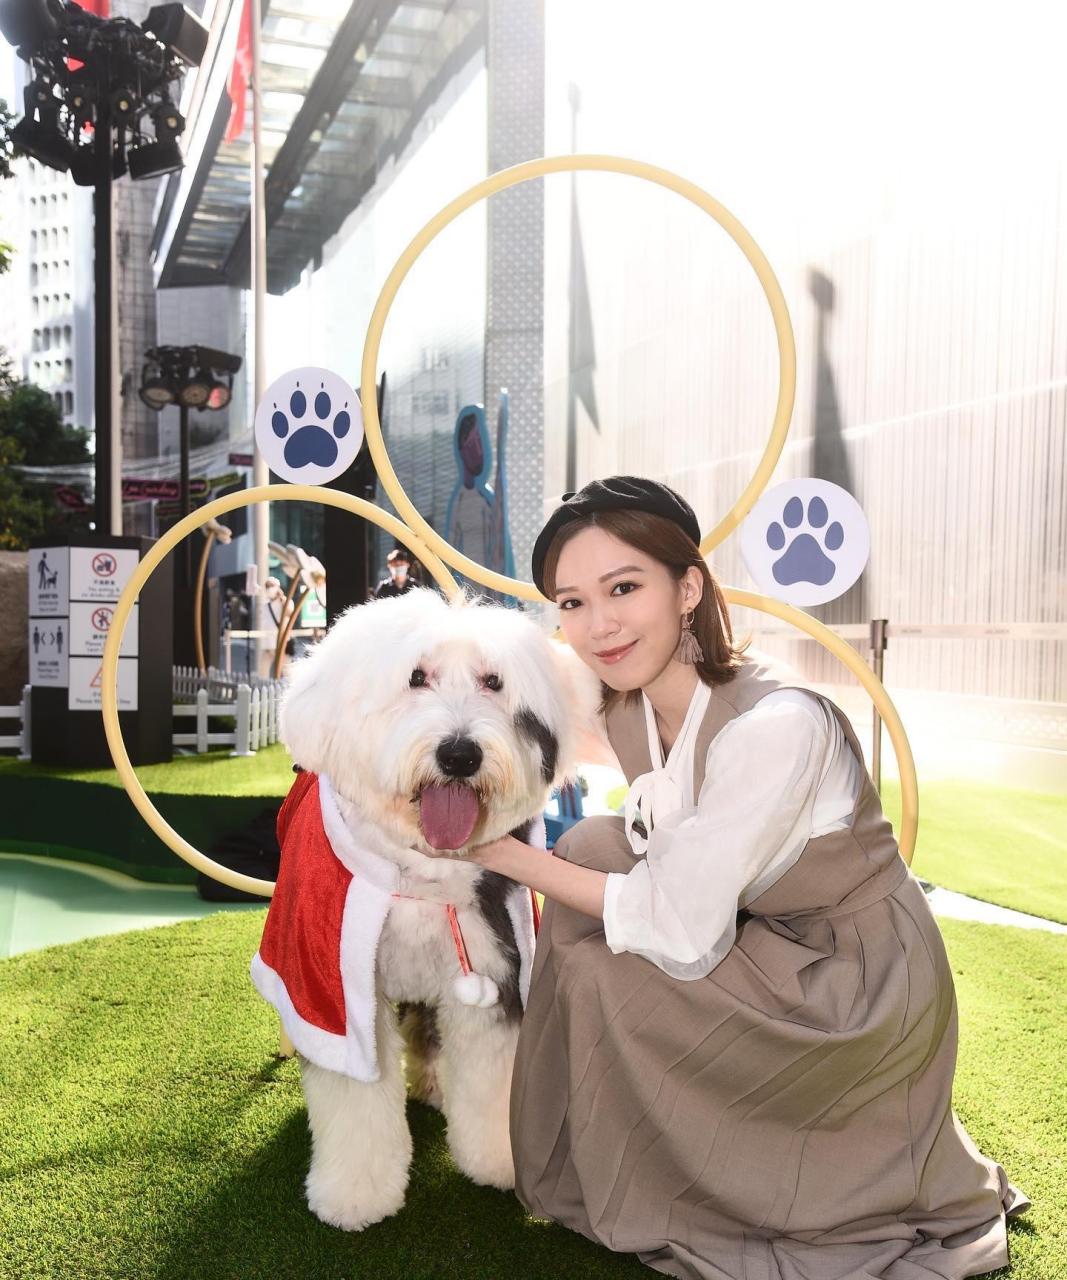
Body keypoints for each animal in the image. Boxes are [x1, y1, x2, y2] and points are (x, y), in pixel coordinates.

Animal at [250, 586, 598, 1228]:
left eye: (493, 681)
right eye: (416, 677)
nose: (460, 755)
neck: (423, 872)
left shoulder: (497, 964)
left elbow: (488, 1071)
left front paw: (499, 1159)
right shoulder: (337, 995)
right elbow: (356, 1099)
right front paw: (356, 1194)